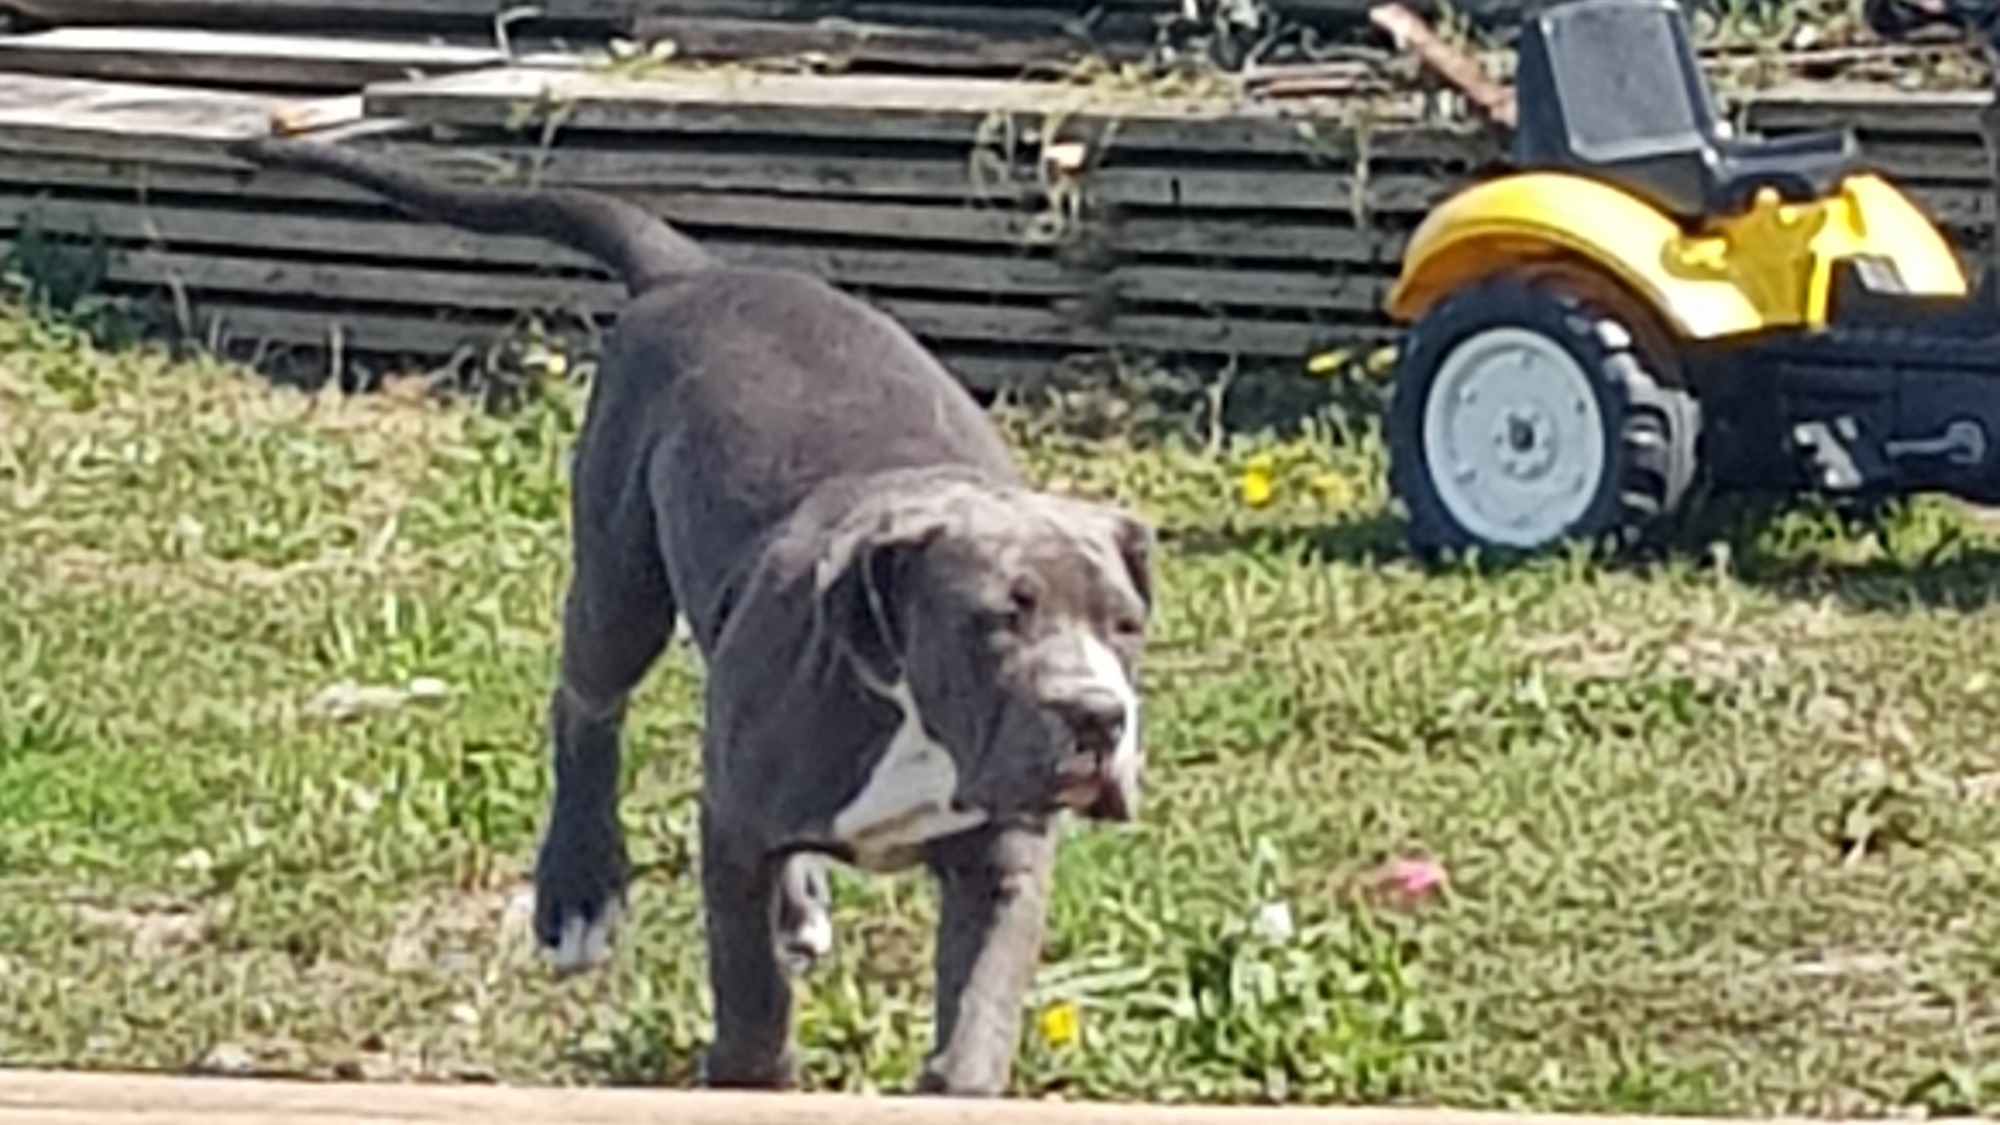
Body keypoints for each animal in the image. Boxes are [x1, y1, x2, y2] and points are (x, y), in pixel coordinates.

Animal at [229, 136, 1160, 1088]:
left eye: (1126, 625)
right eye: (994, 619)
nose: (1099, 715)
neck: (912, 718)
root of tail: (694, 275)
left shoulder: (1005, 855)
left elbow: (976, 1011)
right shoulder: (736, 837)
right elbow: (749, 986)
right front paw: (752, 1074)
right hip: (618, 579)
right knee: (586, 705)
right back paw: (580, 889)